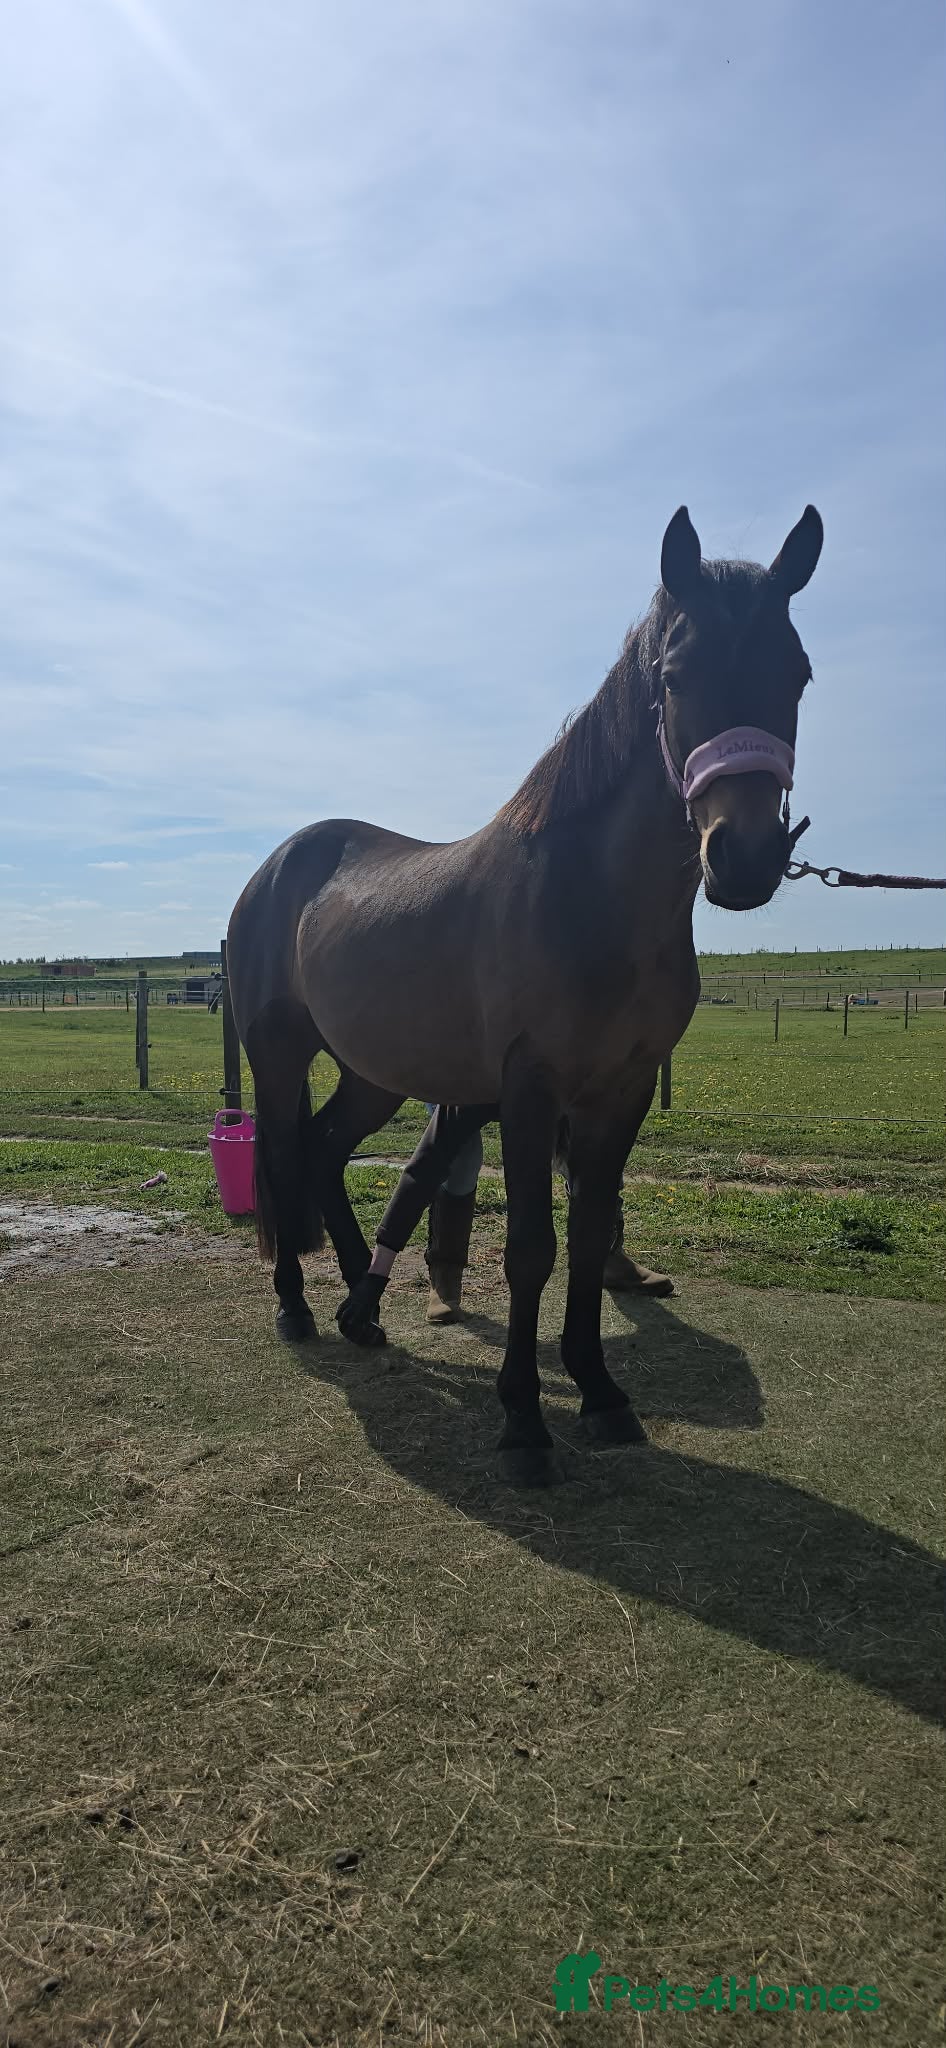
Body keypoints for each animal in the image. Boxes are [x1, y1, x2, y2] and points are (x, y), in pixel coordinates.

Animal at [227, 504, 823, 1483]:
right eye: (676, 675)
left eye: (799, 671)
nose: (743, 859)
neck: (591, 900)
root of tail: (278, 866)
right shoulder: (530, 1088)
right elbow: (532, 1251)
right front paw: (523, 1420)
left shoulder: (620, 1090)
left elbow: (588, 1237)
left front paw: (601, 1393)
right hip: (276, 1053)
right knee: (282, 1155)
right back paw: (298, 1309)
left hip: (373, 1072)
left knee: (322, 1152)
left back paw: (361, 1309)